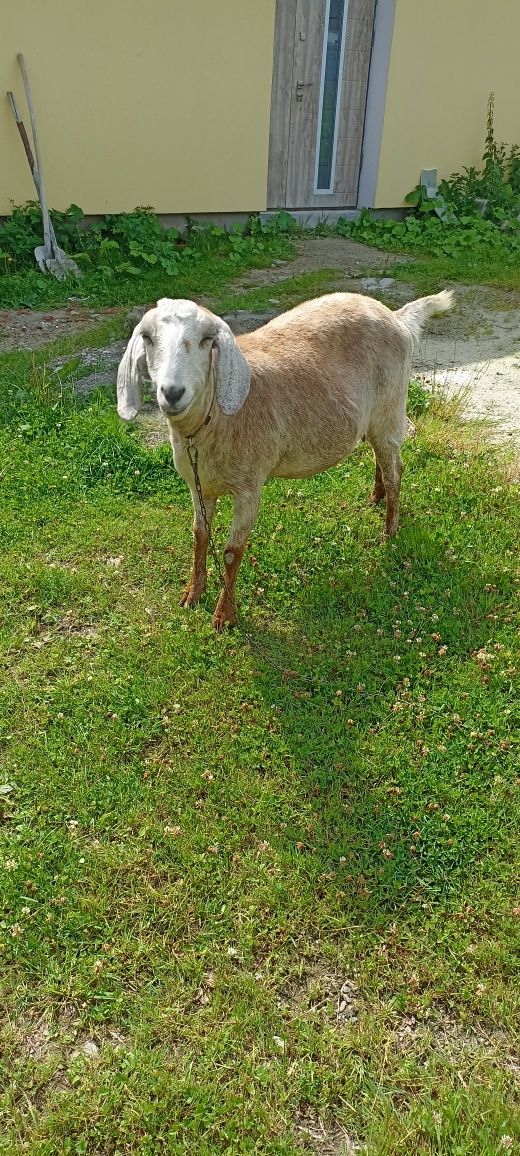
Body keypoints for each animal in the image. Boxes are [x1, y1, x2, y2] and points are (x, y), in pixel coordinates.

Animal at [116, 293, 450, 628]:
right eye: (148, 338)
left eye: (206, 339)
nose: (172, 392)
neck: (212, 421)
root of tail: (396, 317)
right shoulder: (198, 486)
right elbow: (200, 536)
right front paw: (192, 594)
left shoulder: (249, 487)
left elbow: (232, 552)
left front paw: (224, 616)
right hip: (372, 420)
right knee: (380, 460)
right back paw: (375, 497)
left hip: (389, 409)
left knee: (395, 470)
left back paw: (389, 532)